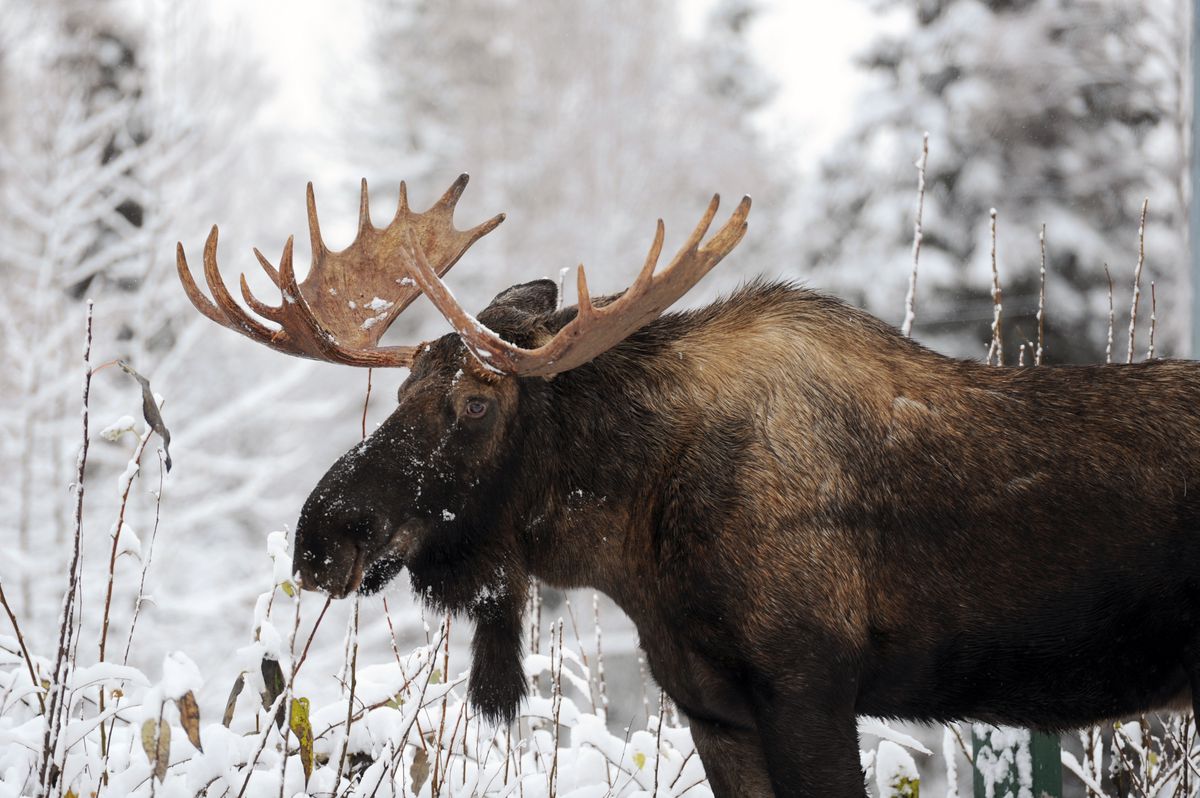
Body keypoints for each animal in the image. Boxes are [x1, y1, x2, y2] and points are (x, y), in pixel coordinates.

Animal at [175, 176, 1200, 796]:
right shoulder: (713, 707)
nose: (321, 536)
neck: (635, 545)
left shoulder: (809, 687)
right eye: (399, 392)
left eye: (474, 402)